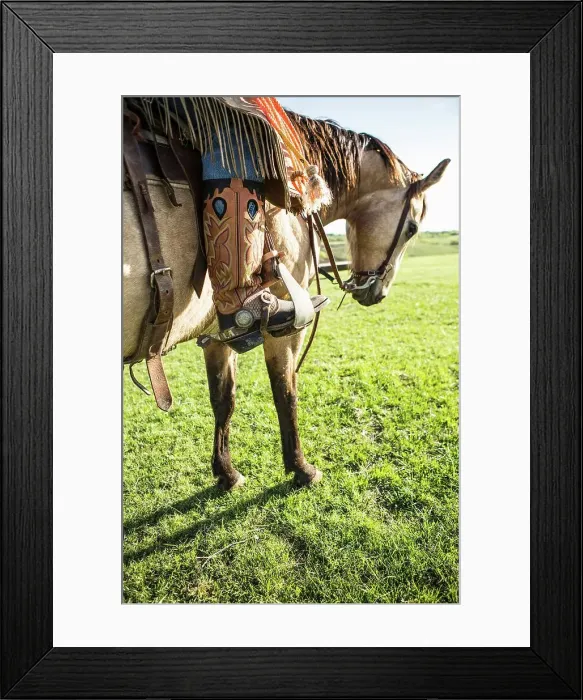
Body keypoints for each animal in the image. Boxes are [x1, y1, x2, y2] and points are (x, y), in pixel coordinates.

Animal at [123, 110, 450, 490]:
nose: (376, 292)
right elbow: (286, 392)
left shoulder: (217, 336)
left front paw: (226, 472)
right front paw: (301, 468)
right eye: (412, 228)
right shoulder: (286, 328)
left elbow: (223, 399)